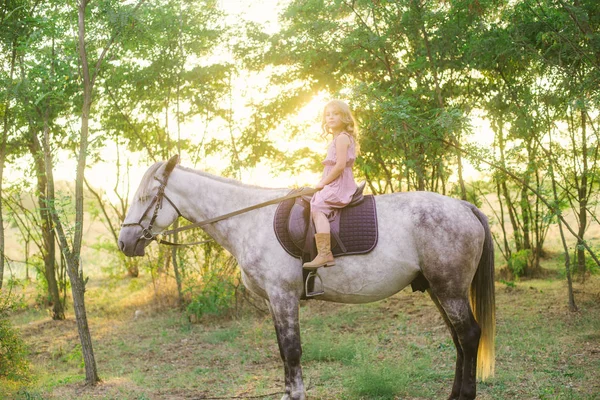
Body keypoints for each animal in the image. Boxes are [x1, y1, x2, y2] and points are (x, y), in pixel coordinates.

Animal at [118, 155, 496, 400]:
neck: (248, 219)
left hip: (449, 289)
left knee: (469, 335)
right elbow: (283, 351)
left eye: (145, 197)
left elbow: (292, 350)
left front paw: (297, 394)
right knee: (459, 339)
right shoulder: (275, 301)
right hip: (438, 289)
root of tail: (464, 207)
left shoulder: (283, 296)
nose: (125, 242)